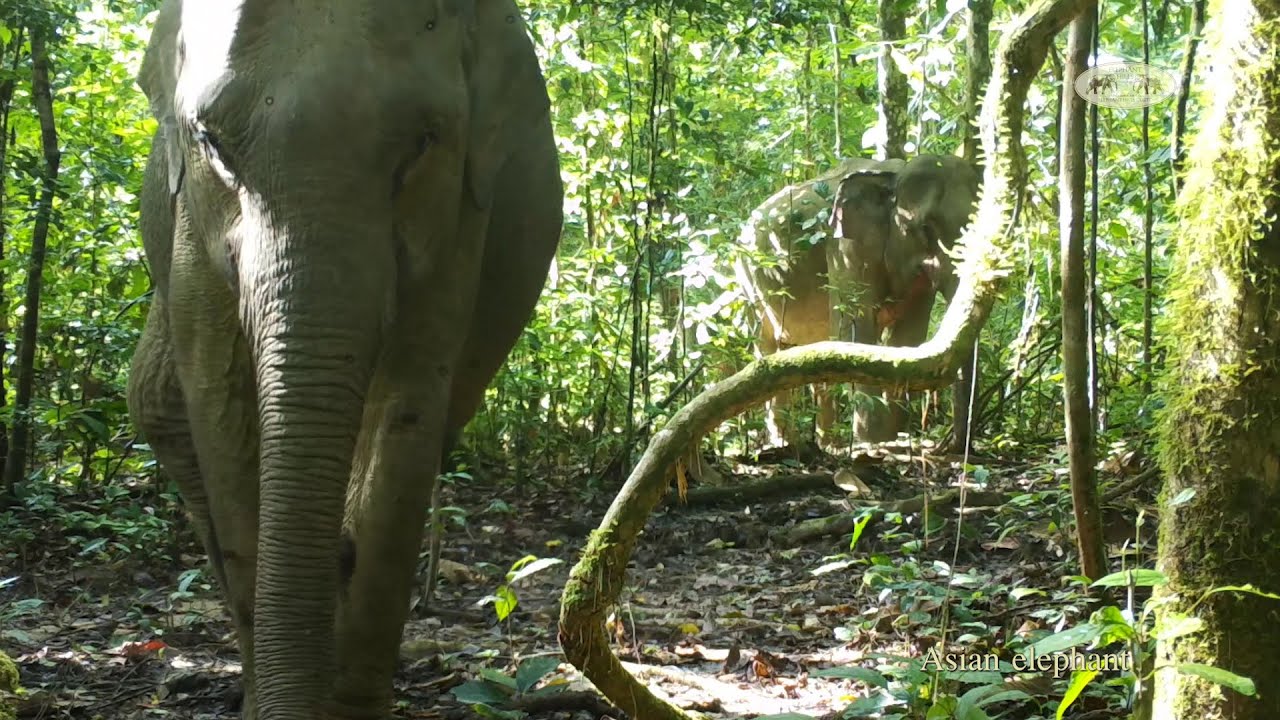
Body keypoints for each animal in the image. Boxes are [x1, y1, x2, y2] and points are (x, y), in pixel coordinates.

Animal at [124, 0, 562, 718]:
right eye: (212, 143)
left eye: (423, 142)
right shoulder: (190, 227)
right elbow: (218, 404)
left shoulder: (463, 212)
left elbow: (408, 406)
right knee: (159, 407)